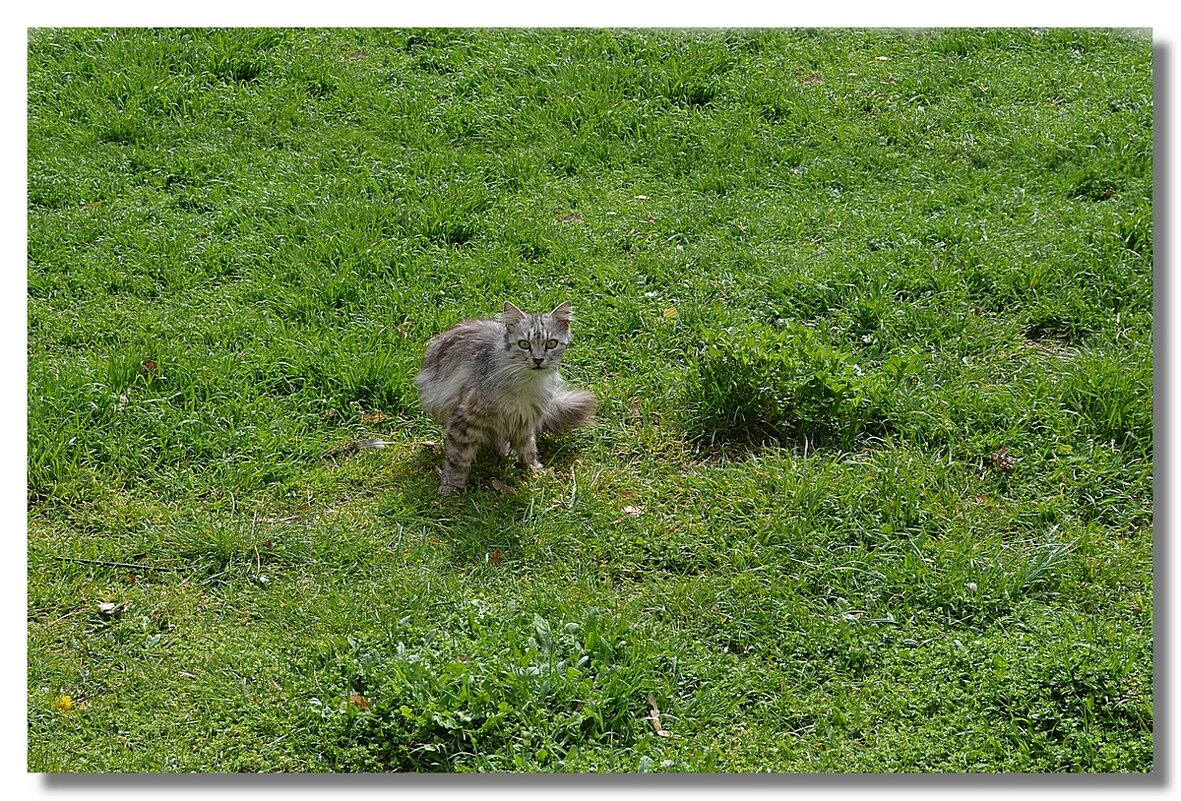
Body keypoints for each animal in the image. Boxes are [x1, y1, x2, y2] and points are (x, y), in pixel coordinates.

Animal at [415, 300, 599, 493]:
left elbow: (528, 450)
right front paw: (450, 488)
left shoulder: (525, 420)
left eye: (551, 344)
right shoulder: (464, 420)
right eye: (524, 344)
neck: (526, 384)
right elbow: (458, 459)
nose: (538, 360)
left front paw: (535, 471)